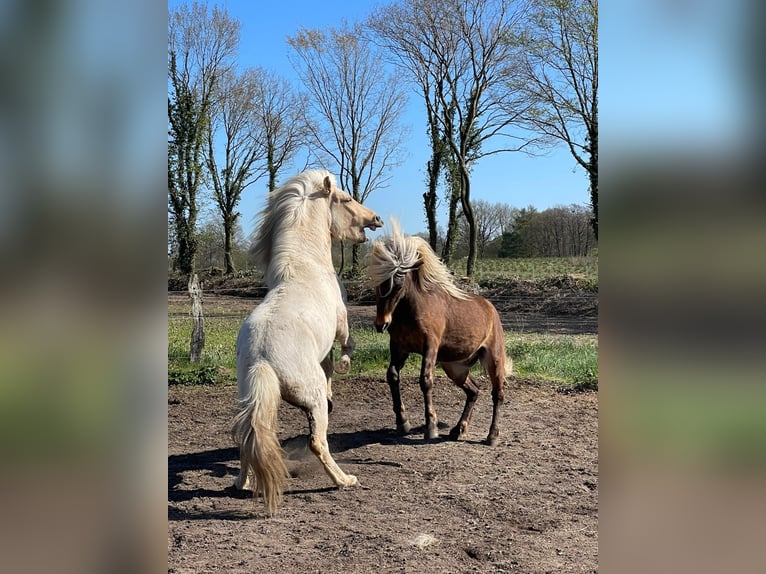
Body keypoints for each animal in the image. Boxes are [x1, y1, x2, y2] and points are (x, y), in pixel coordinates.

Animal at [231, 169, 383, 515]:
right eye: (346, 198)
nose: (376, 218)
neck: (306, 266)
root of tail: (261, 359)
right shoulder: (341, 325)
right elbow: (347, 347)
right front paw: (345, 366)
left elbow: (329, 366)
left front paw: (333, 388)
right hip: (309, 402)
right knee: (317, 442)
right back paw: (344, 480)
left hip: (254, 400)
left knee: (248, 438)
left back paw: (242, 484)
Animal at [369, 221, 510, 446]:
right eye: (377, 282)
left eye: (398, 283)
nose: (381, 324)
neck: (411, 309)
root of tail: (490, 307)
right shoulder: (399, 347)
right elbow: (392, 376)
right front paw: (402, 422)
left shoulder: (430, 346)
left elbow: (425, 380)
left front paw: (431, 426)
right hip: (455, 367)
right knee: (474, 391)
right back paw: (459, 429)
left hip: (492, 359)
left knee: (498, 394)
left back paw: (492, 436)